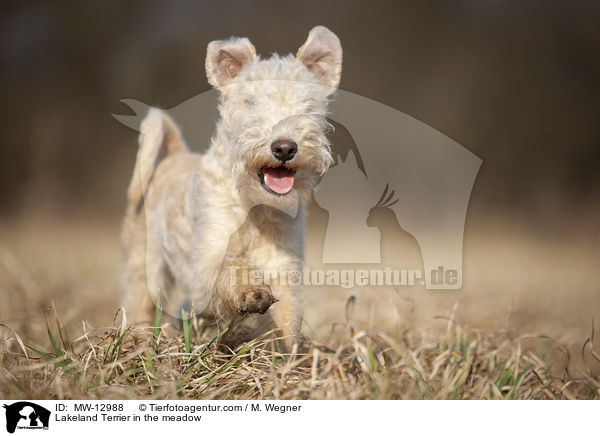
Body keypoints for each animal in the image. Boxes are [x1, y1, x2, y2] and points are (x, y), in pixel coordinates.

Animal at [119, 26, 342, 348]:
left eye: (308, 105)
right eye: (250, 102)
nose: (284, 147)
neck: (256, 207)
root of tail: (173, 156)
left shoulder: (284, 267)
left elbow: (285, 320)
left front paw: (284, 356)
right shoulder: (207, 260)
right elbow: (232, 266)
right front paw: (253, 293)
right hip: (143, 265)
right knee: (140, 304)